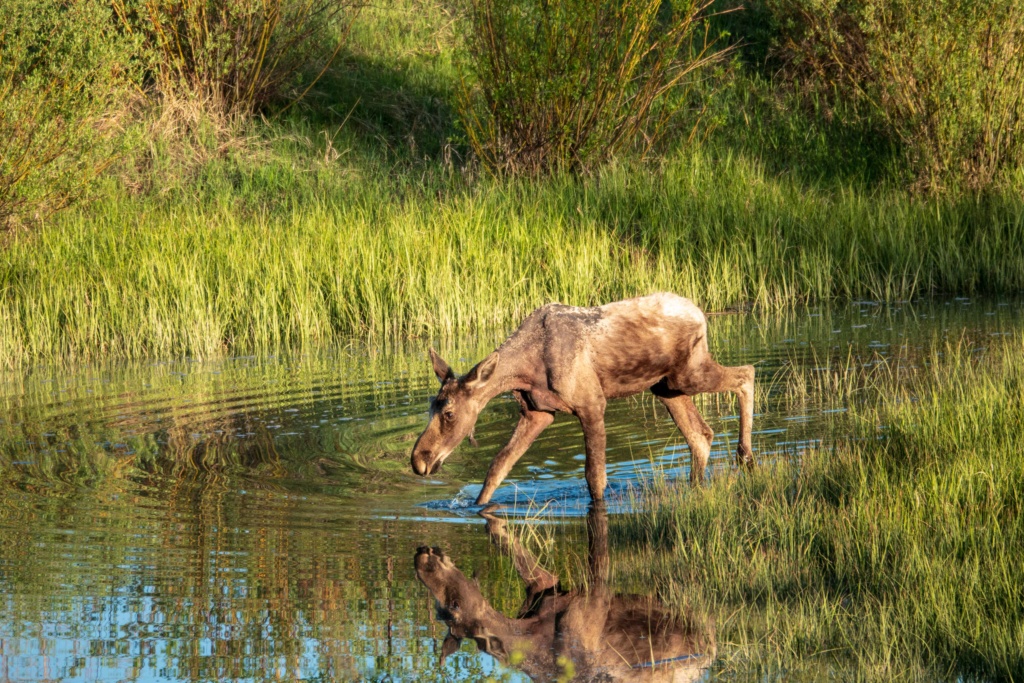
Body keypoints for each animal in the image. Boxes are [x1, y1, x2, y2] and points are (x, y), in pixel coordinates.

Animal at [411, 290, 757, 505]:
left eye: (449, 414)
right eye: (430, 408)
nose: (418, 461)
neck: (524, 369)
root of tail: (700, 313)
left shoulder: (591, 404)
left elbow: (595, 477)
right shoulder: (537, 413)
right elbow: (498, 467)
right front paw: (475, 506)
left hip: (689, 373)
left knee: (747, 373)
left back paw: (745, 455)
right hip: (666, 386)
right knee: (701, 434)